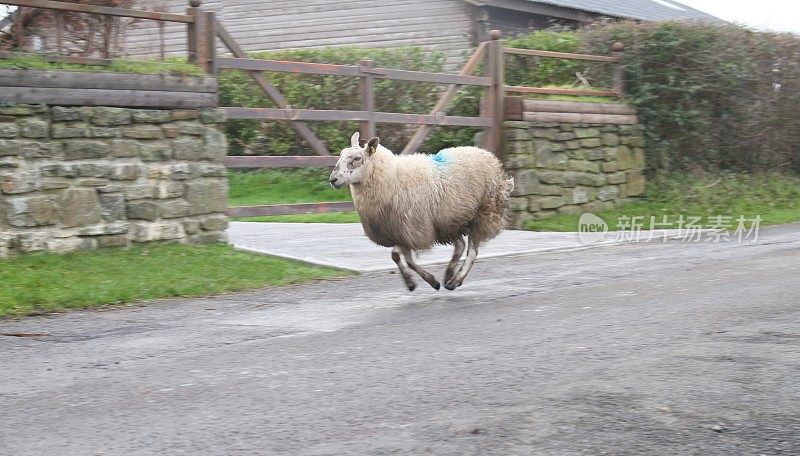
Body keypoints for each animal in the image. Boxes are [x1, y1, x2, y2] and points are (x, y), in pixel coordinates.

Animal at [330, 132, 512, 290]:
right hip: (449, 220)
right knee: (460, 245)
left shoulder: (412, 229)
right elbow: (399, 258)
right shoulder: (399, 232)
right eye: (341, 155)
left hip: (483, 212)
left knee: (472, 251)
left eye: (357, 158)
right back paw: (448, 274)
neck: (391, 177)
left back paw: (455, 281)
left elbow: (401, 257)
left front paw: (429, 281)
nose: (333, 179)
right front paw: (415, 283)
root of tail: (488, 155)